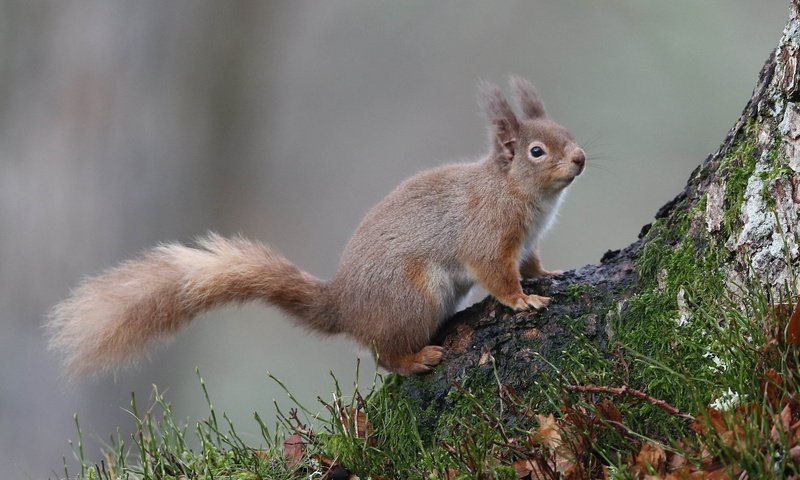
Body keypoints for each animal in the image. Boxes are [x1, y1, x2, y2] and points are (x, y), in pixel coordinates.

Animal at [51, 78, 588, 378]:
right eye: (537, 151)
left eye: (567, 132)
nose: (581, 158)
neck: (519, 194)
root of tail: (345, 306)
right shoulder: (486, 236)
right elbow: (496, 274)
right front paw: (523, 301)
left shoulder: (526, 243)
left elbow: (531, 263)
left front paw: (546, 276)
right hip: (412, 300)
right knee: (383, 355)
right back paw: (415, 360)